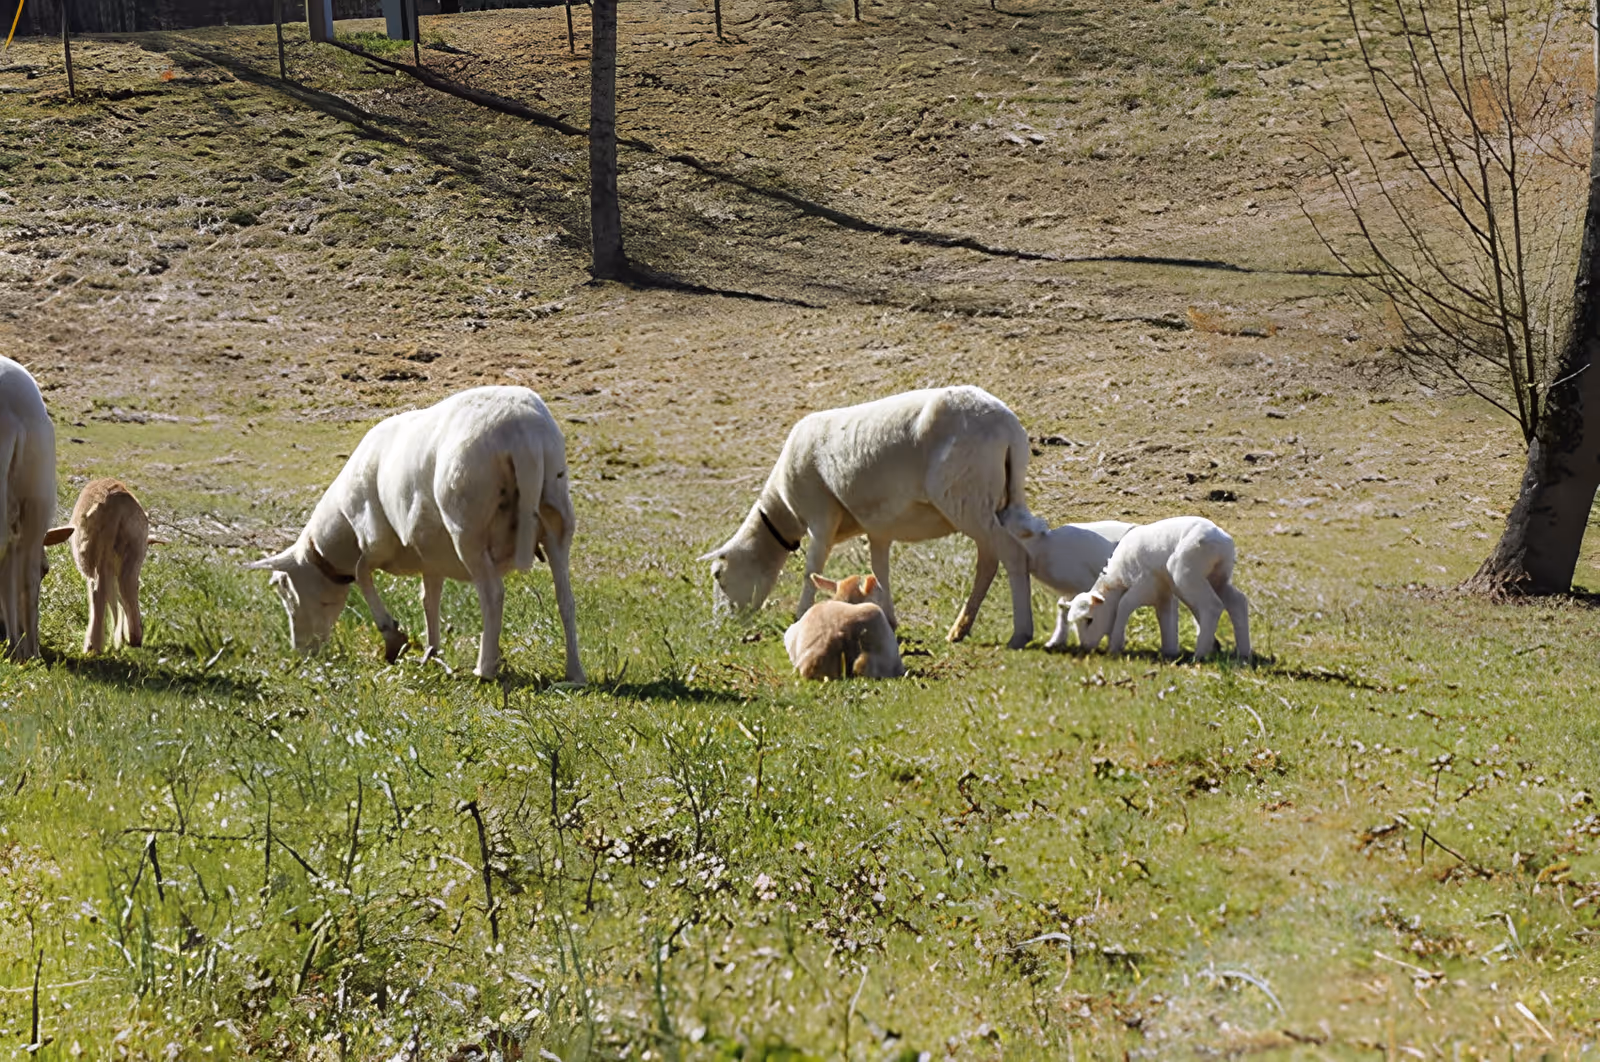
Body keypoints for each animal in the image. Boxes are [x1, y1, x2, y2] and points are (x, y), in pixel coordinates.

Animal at [42, 478, 151, 654]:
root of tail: (116, 502)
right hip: (134, 551)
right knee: (129, 590)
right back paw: (134, 638)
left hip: (92, 555)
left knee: (97, 592)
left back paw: (92, 646)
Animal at [247, 386, 583, 683]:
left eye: (285, 591)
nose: (301, 652)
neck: (341, 531)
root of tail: (525, 438)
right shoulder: (430, 554)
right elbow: (428, 599)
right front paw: (431, 653)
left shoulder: (375, 540)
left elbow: (362, 574)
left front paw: (393, 637)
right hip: (557, 515)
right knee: (565, 598)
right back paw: (574, 673)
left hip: (467, 527)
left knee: (493, 594)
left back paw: (484, 669)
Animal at [701, 385, 1036, 648]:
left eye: (718, 575)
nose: (719, 627)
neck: (784, 511)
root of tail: (1009, 428)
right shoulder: (878, 528)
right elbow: (879, 571)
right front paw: (888, 619)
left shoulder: (820, 517)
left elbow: (812, 570)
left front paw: (800, 616)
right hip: (991, 502)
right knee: (989, 560)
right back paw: (960, 628)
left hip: (966, 496)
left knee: (1012, 554)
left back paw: (1020, 634)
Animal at [1063, 516, 1250, 661]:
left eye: (1090, 619)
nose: (1085, 647)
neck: (1118, 578)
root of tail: (1222, 539)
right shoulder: (1163, 593)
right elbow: (1166, 617)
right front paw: (1169, 651)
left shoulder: (1145, 585)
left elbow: (1123, 605)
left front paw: (1115, 645)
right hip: (1217, 577)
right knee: (1237, 602)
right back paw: (1243, 653)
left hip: (1186, 574)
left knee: (1212, 606)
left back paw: (1200, 654)